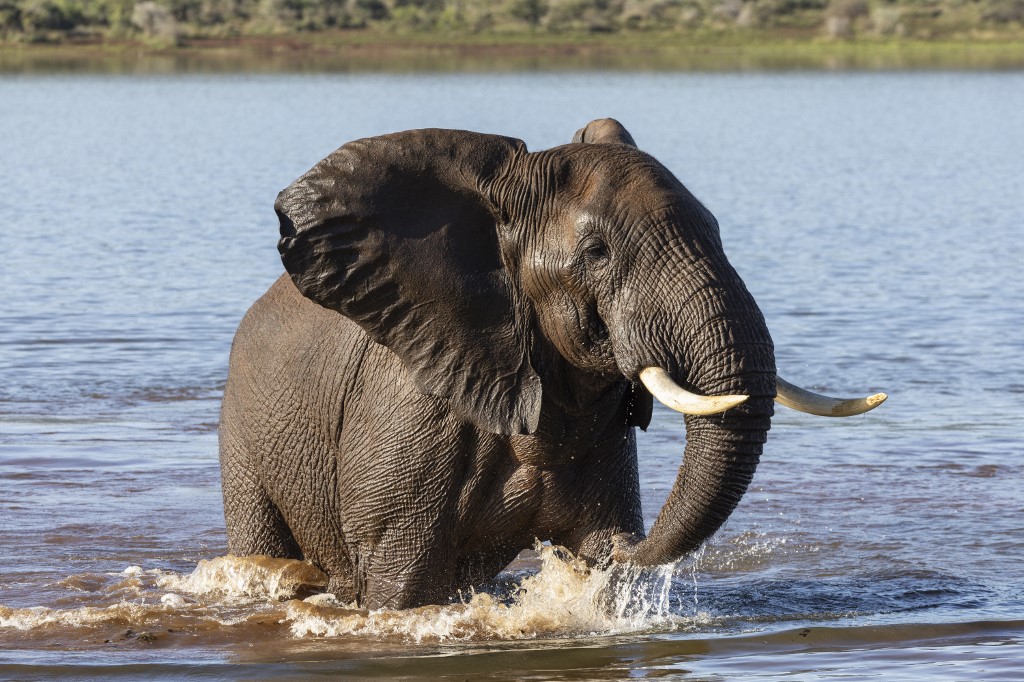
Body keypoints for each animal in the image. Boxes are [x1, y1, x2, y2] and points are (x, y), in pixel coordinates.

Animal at [220, 116, 884, 606]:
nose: (625, 544)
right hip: (242, 433)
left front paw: (600, 555)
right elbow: (400, 585)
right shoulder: (406, 417)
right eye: (596, 252)